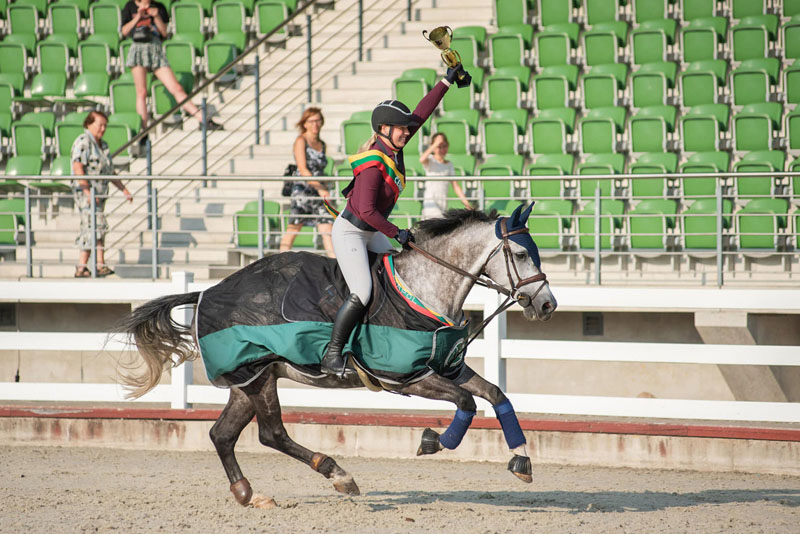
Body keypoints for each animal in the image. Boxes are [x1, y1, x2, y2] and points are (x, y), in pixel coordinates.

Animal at [119, 207, 556, 508]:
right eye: (521, 253)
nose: (547, 304)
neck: (425, 288)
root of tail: (208, 291)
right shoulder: (408, 378)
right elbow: (466, 403)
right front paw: (433, 441)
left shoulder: (448, 367)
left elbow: (496, 395)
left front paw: (521, 461)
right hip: (258, 377)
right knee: (271, 433)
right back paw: (338, 474)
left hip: (251, 379)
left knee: (223, 435)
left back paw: (248, 493)